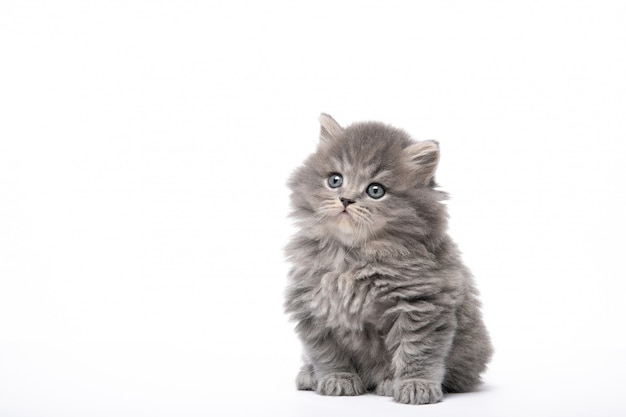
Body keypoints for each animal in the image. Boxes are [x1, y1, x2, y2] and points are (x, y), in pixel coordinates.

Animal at [282, 113, 492, 404]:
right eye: (335, 180)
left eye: (375, 190)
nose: (345, 199)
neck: (352, 257)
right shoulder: (311, 303)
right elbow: (326, 352)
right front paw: (338, 378)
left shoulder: (422, 304)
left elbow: (417, 350)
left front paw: (414, 385)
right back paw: (309, 376)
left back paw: (387, 382)